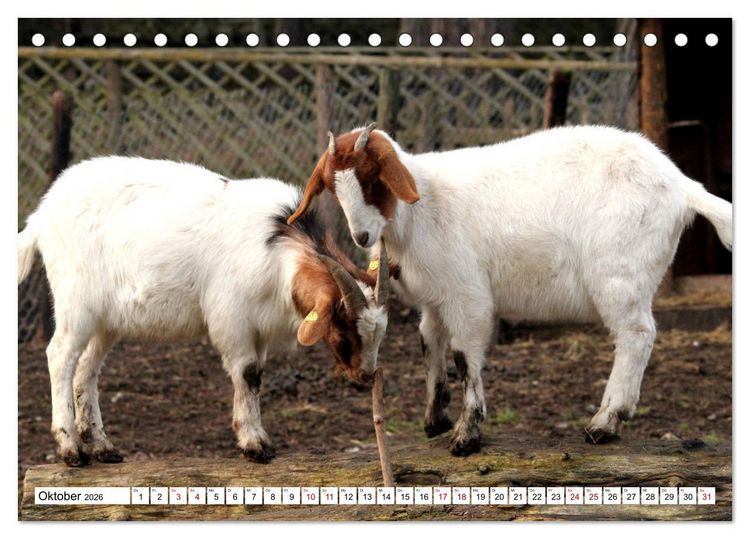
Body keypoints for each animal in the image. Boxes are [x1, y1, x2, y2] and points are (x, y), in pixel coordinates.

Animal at [17, 156, 389, 466]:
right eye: (344, 330)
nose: (364, 376)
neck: (278, 244)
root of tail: (40, 217)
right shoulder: (232, 317)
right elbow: (248, 373)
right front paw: (255, 445)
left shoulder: (258, 326)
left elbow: (257, 376)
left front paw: (258, 439)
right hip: (75, 302)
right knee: (61, 357)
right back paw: (70, 449)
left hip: (105, 319)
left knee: (86, 369)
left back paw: (101, 446)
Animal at [287, 123, 733, 456]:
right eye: (332, 187)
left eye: (372, 178)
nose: (361, 237)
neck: (421, 209)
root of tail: (681, 186)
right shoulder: (435, 296)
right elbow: (430, 344)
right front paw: (434, 418)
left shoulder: (467, 293)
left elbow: (465, 355)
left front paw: (466, 434)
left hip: (620, 273)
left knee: (636, 335)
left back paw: (605, 422)